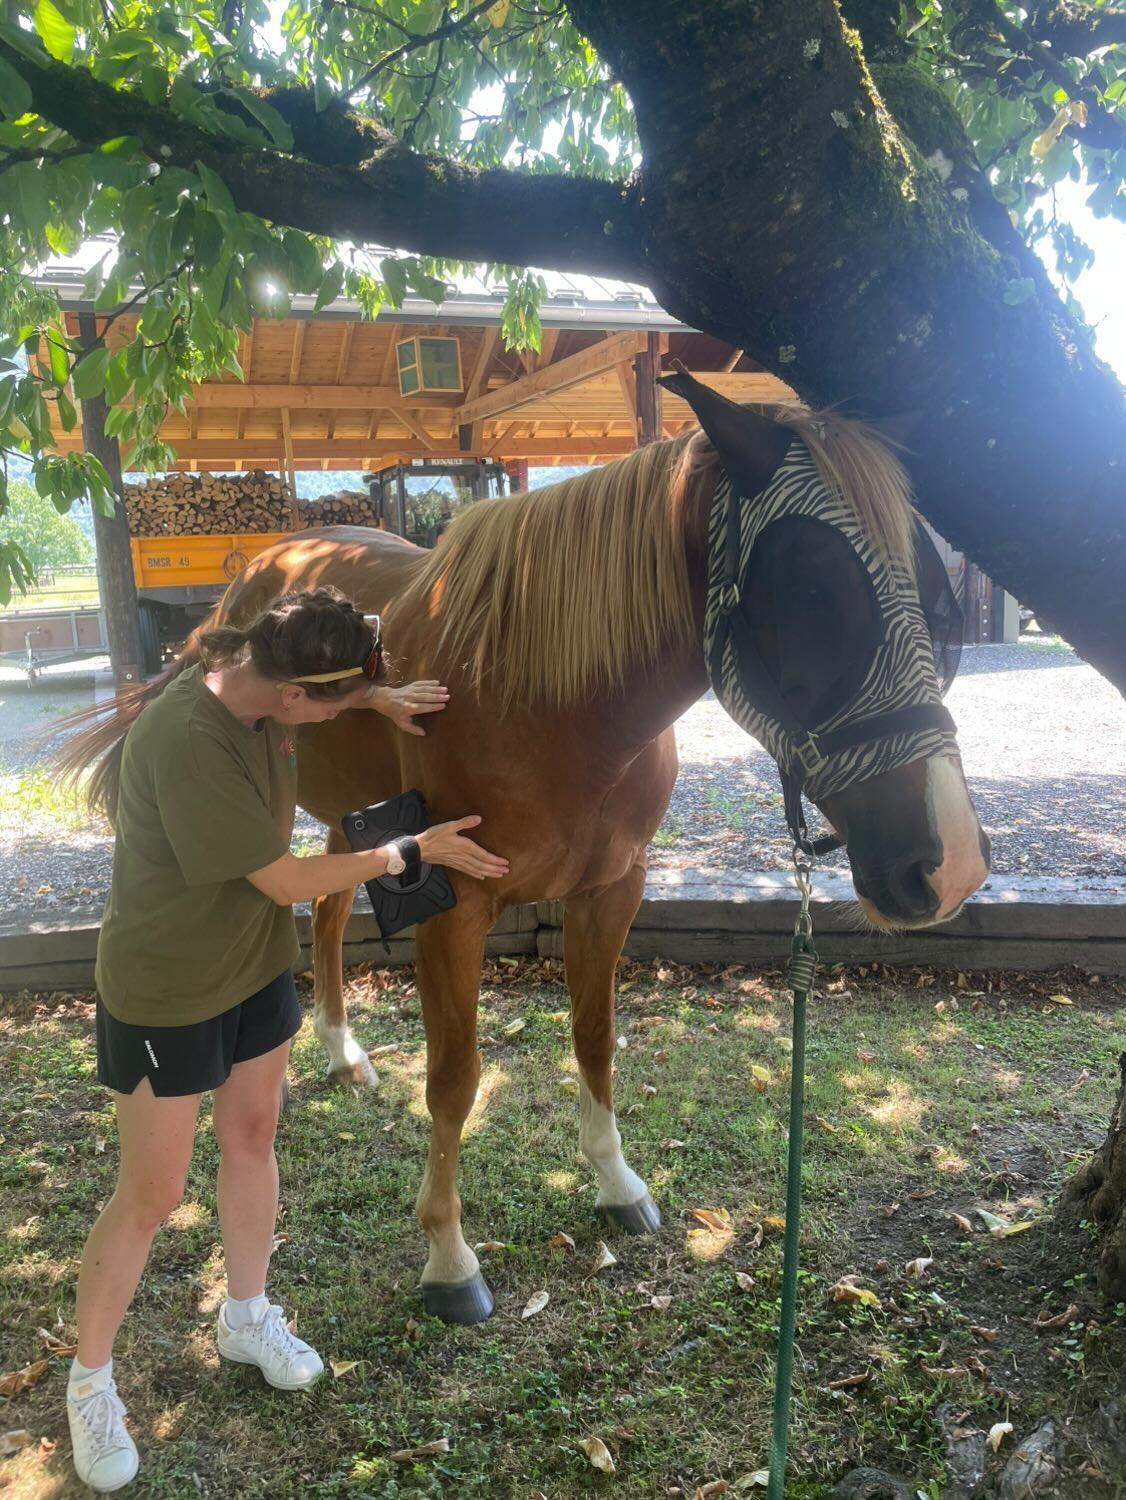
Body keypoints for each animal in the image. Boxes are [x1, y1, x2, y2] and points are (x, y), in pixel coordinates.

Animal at [68, 381, 989, 1324]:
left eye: (930, 591)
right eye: (809, 587)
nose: (948, 862)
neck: (551, 698)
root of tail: (263, 571)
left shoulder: (613, 891)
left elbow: (595, 1038)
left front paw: (617, 1185)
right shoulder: (453, 910)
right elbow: (454, 1079)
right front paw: (449, 1257)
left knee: (325, 909)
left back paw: (342, 1054)